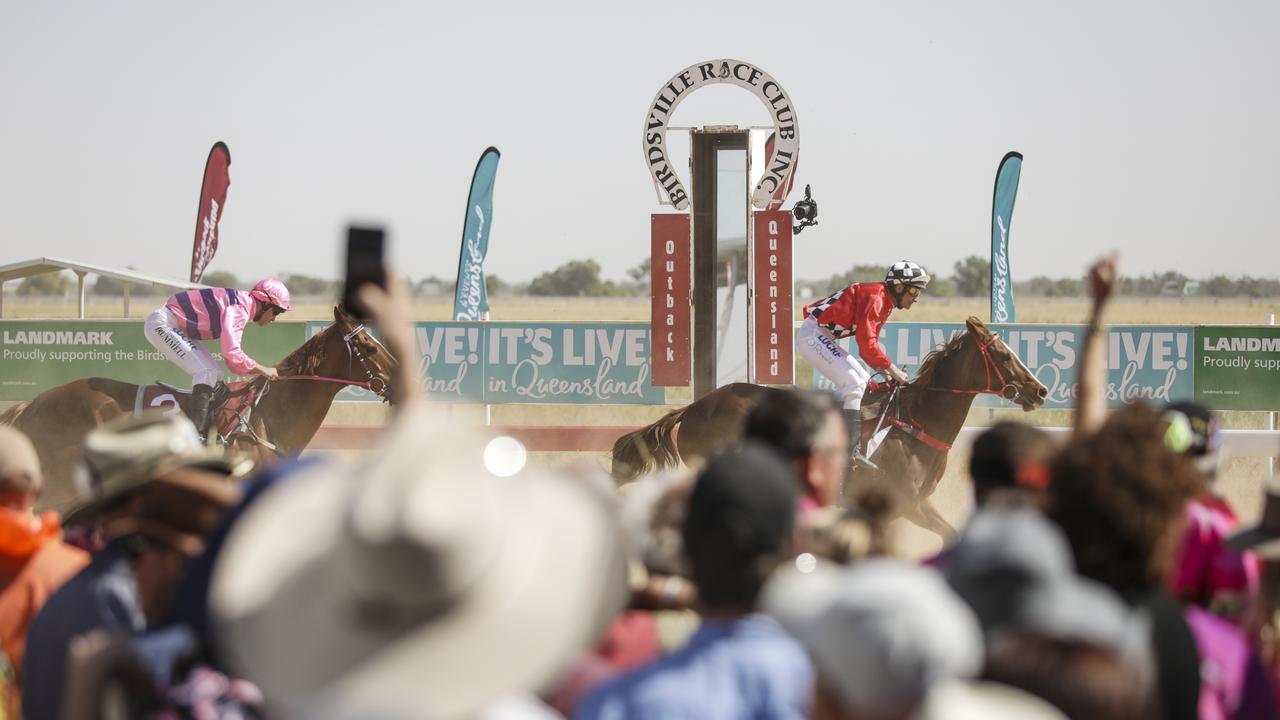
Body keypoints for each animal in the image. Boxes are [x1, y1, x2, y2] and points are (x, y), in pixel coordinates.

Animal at [614, 316, 1044, 535]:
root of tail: (694, 408)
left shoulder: (916, 503)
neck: (915, 422)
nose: (1038, 391)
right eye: (1004, 356)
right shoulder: (901, 503)